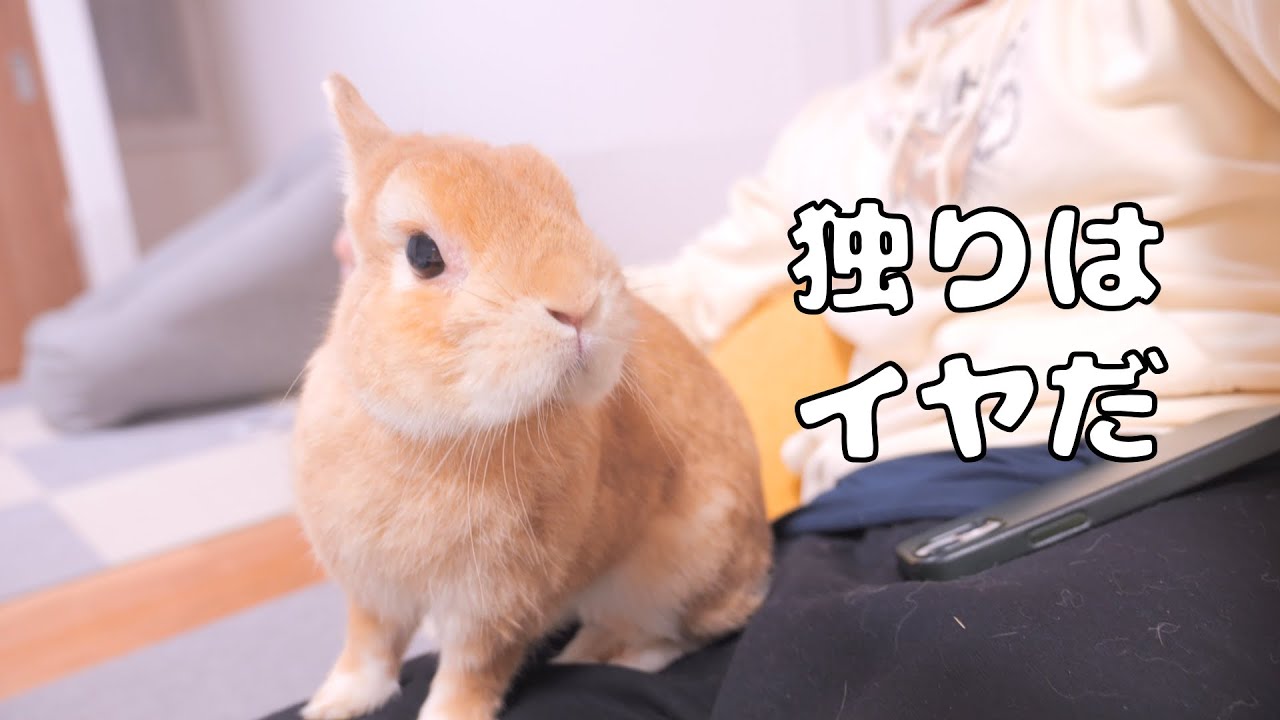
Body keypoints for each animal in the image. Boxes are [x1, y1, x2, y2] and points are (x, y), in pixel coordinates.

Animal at [293, 74, 772, 720]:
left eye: (570, 207)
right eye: (423, 254)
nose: (578, 304)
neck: (437, 436)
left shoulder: (494, 605)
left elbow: (469, 673)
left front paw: (444, 717)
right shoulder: (372, 588)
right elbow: (368, 648)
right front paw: (331, 705)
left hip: (677, 572)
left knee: (679, 634)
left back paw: (600, 655)